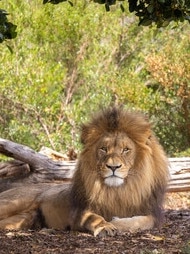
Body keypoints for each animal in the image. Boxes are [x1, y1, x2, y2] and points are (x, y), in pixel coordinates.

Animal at [0, 106, 169, 236]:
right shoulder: (80, 211)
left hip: (22, 219)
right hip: (12, 203)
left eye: (126, 150)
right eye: (103, 149)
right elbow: (94, 217)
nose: (113, 167)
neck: (117, 192)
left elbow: (144, 221)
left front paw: (117, 222)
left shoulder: (152, 213)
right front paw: (106, 226)